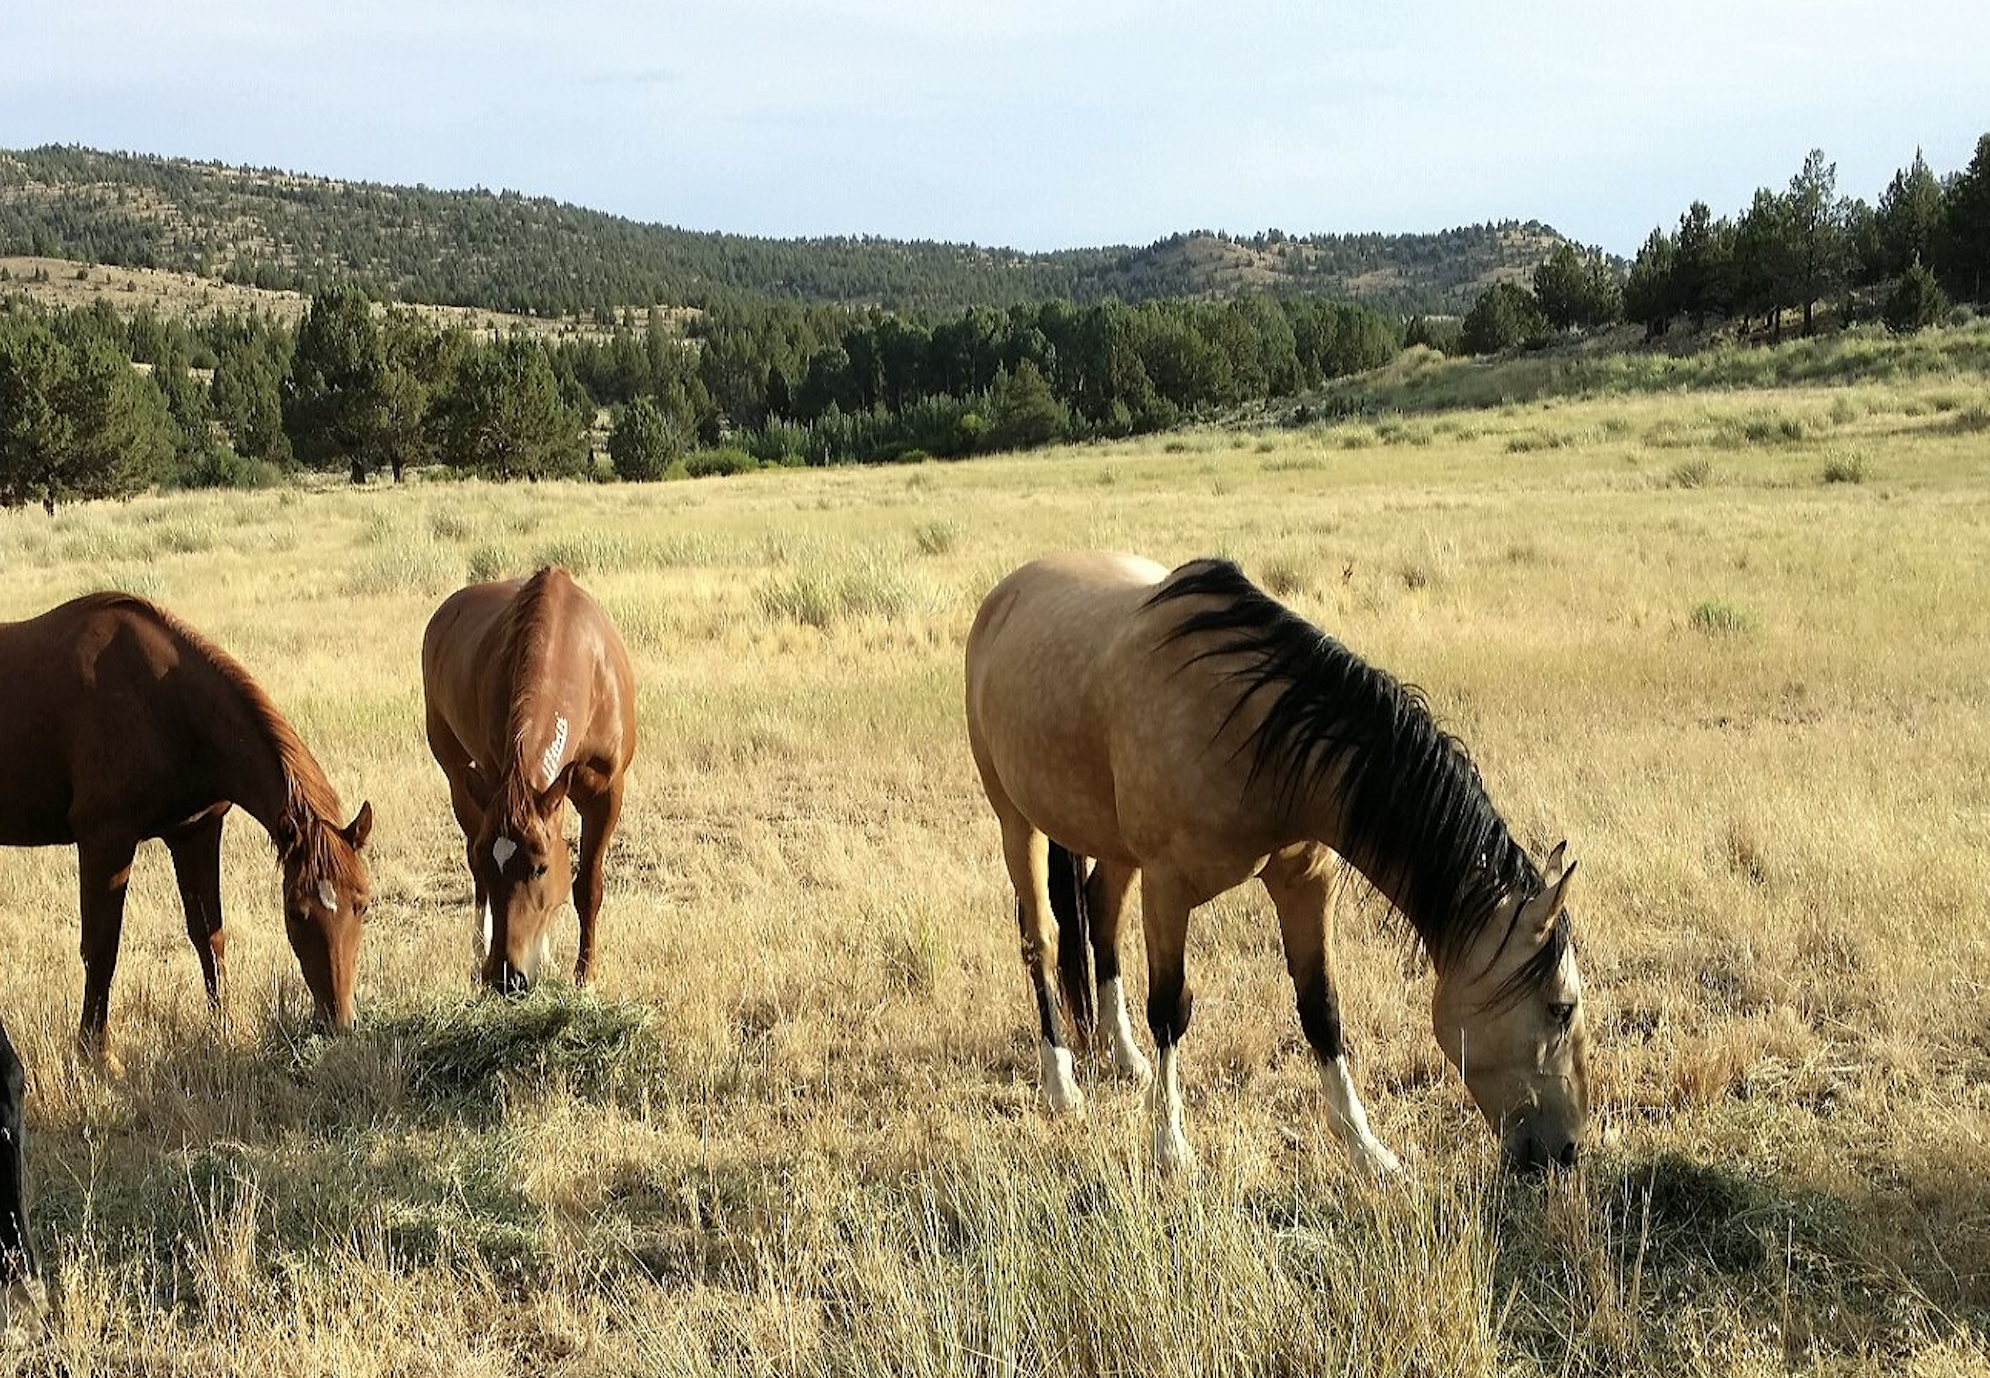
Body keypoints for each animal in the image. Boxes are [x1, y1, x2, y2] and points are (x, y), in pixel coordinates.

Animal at [0, 585, 376, 1051]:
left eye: (363, 904)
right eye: (294, 911)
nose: (338, 1023)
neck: (163, 704)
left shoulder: (195, 832)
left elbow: (209, 936)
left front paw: (224, 1029)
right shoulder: (105, 841)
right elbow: (101, 949)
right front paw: (97, 1052)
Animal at [419, 565, 636, 995]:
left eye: (539, 868)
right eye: (493, 866)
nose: (507, 977)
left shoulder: (605, 793)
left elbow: (587, 885)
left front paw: (585, 976)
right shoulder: (491, 782)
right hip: (456, 775)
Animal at [959, 553, 1584, 1178]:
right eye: (1561, 1009)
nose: (1567, 1151)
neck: (1256, 733)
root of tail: (1007, 593)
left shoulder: (1303, 883)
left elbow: (1322, 1008)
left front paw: (1365, 1148)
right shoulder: (1168, 890)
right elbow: (1170, 1009)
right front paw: (1170, 1145)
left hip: (1111, 845)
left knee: (1100, 914)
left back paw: (1125, 1055)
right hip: (1016, 821)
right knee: (1040, 939)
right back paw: (1060, 1083)